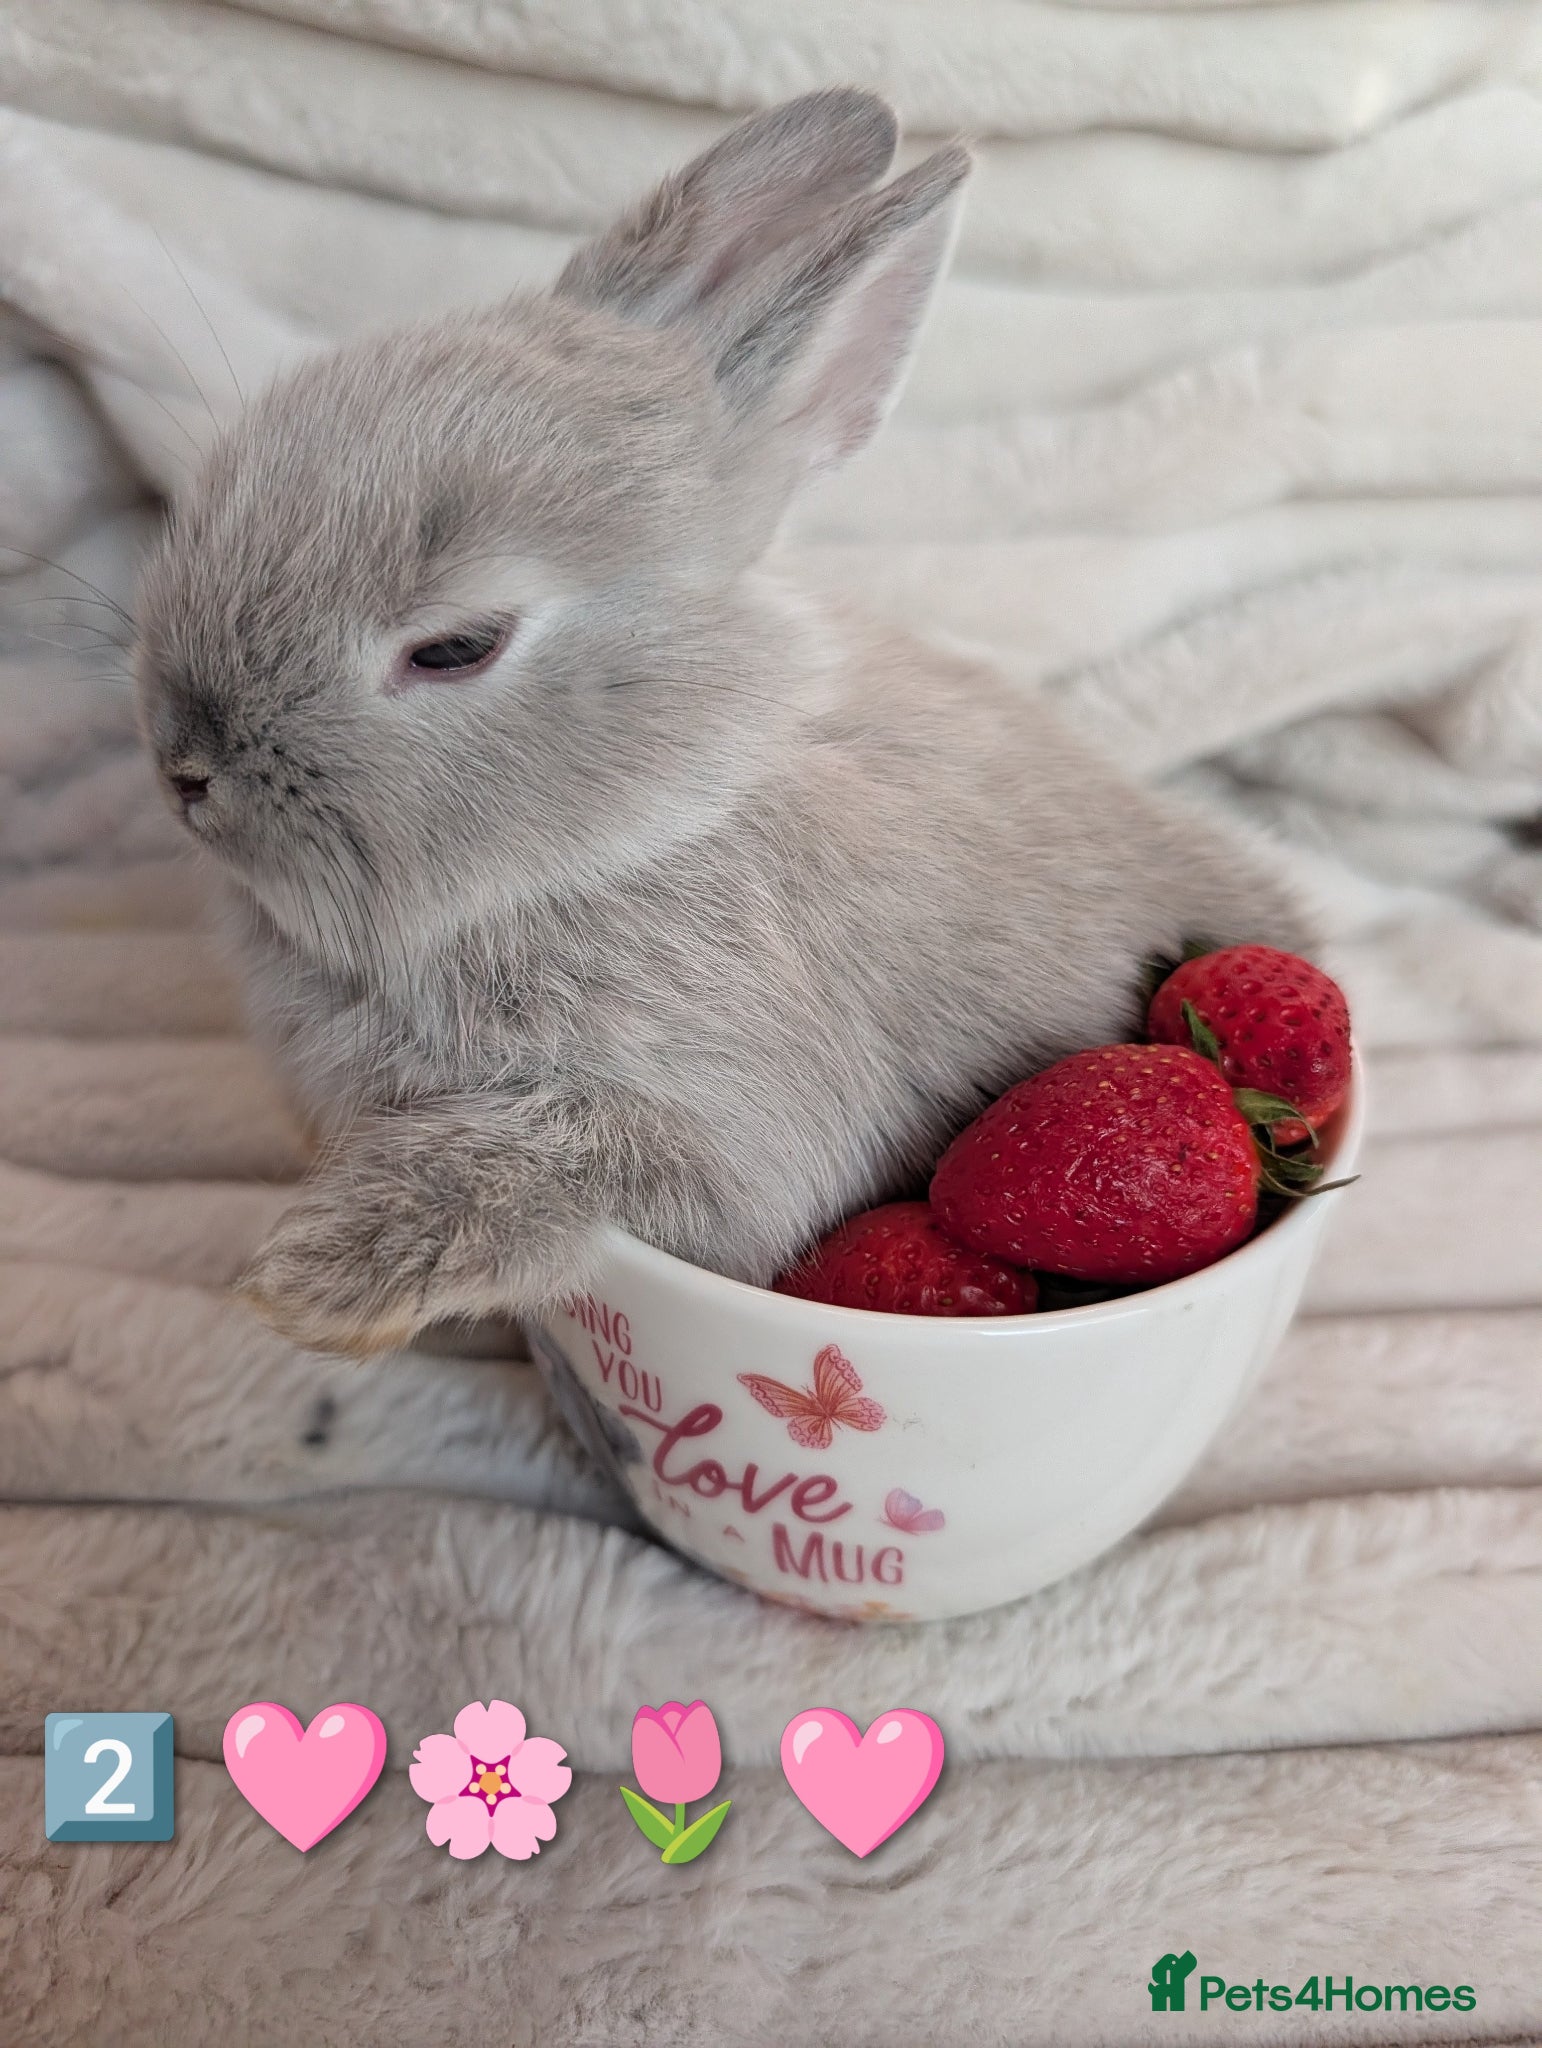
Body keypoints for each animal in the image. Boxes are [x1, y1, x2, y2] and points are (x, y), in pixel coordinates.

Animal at [134, 89, 1308, 1357]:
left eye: (455, 646)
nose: (182, 768)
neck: (662, 808)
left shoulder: (708, 1128)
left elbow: (545, 1165)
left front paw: (315, 1279)